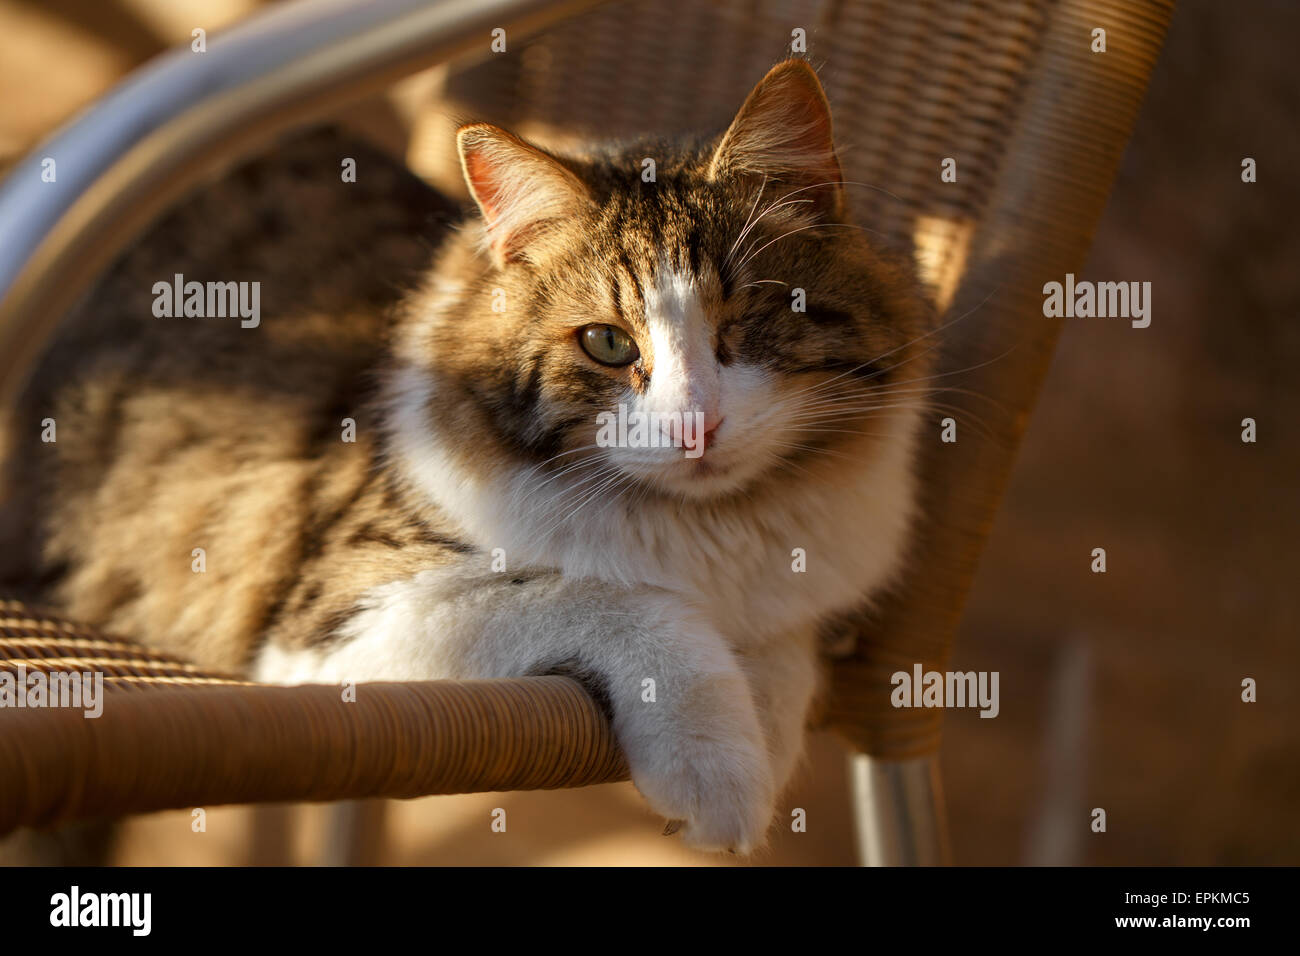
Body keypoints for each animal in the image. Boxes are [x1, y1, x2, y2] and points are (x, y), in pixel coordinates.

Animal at [0, 57, 935, 853]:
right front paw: (720, 771)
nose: (695, 428)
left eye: (747, 322)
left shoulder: (798, 598)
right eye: (606, 343)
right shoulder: (334, 622)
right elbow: (622, 601)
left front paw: (763, 734)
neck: (710, 536)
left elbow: (783, 656)